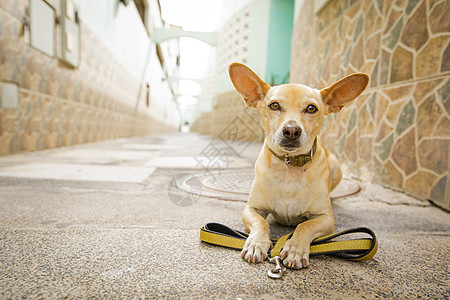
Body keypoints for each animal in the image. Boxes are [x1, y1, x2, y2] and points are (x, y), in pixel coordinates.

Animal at [229, 63, 370, 270]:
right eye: (274, 105)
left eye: (311, 108)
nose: (291, 130)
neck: (289, 166)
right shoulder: (251, 209)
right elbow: (261, 223)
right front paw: (256, 243)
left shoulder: (325, 218)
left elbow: (304, 225)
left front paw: (295, 248)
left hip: (337, 168)